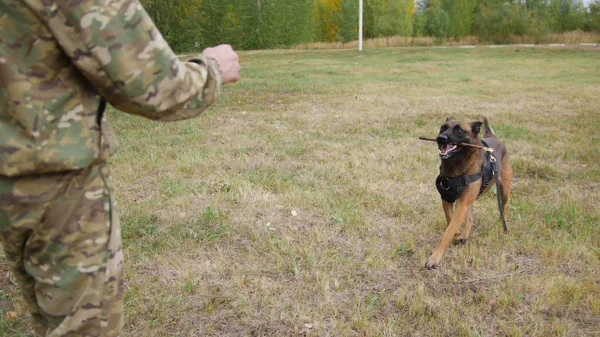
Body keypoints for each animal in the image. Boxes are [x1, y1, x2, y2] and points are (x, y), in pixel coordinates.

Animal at [424, 117, 512, 270]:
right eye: (443, 128)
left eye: (459, 130)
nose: (440, 138)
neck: (456, 166)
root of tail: (494, 138)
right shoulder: (448, 199)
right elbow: (450, 221)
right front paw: (458, 232)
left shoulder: (462, 203)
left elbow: (447, 232)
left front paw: (434, 258)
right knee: (470, 218)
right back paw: (463, 236)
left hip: (504, 190)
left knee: (505, 207)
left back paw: (503, 225)